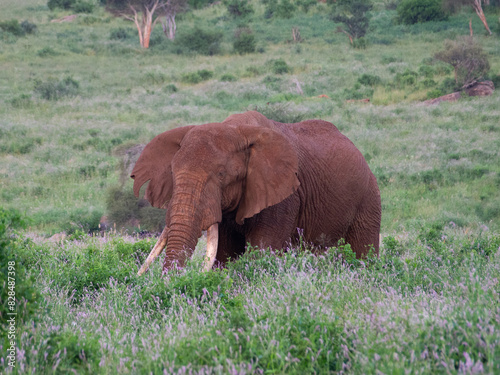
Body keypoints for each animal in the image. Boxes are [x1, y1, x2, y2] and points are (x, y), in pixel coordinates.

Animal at [131, 110, 380, 274]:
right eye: (173, 172)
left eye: (221, 175)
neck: (236, 130)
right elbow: (225, 254)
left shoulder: (284, 197)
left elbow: (262, 251)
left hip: (369, 198)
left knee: (363, 252)